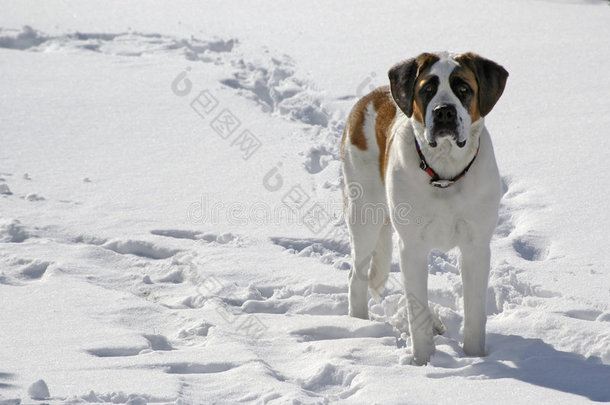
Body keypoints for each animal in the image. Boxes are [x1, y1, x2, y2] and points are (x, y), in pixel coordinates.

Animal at [340, 50, 506, 362]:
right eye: (427, 89)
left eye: (463, 88)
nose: (444, 112)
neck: (444, 175)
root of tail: (370, 97)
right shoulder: (413, 246)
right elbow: (415, 309)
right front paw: (424, 362)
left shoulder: (476, 247)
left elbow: (475, 313)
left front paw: (476, 358)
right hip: (364, 212)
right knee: (357, 275)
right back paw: (359, 326)